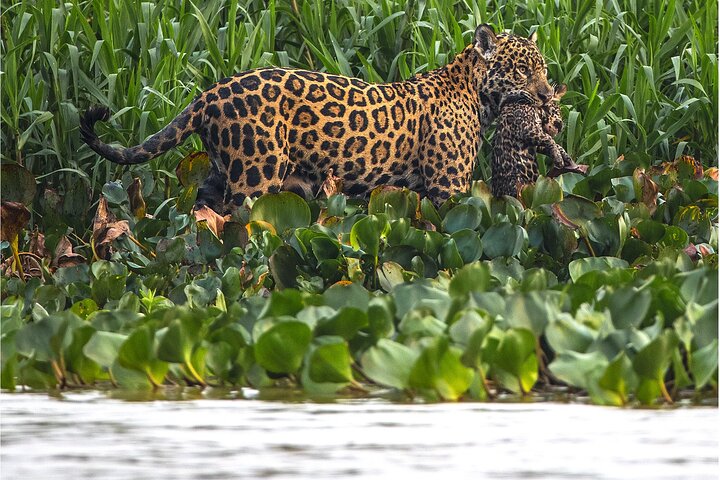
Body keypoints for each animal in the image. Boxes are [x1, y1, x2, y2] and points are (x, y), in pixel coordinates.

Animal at [81, 24, 555, 213]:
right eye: (521, 70)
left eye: (544, 68)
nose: (548, 94)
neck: (475, 94)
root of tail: (210, 93)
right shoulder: (448, 189)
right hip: (255, 178)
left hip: (220, 176)